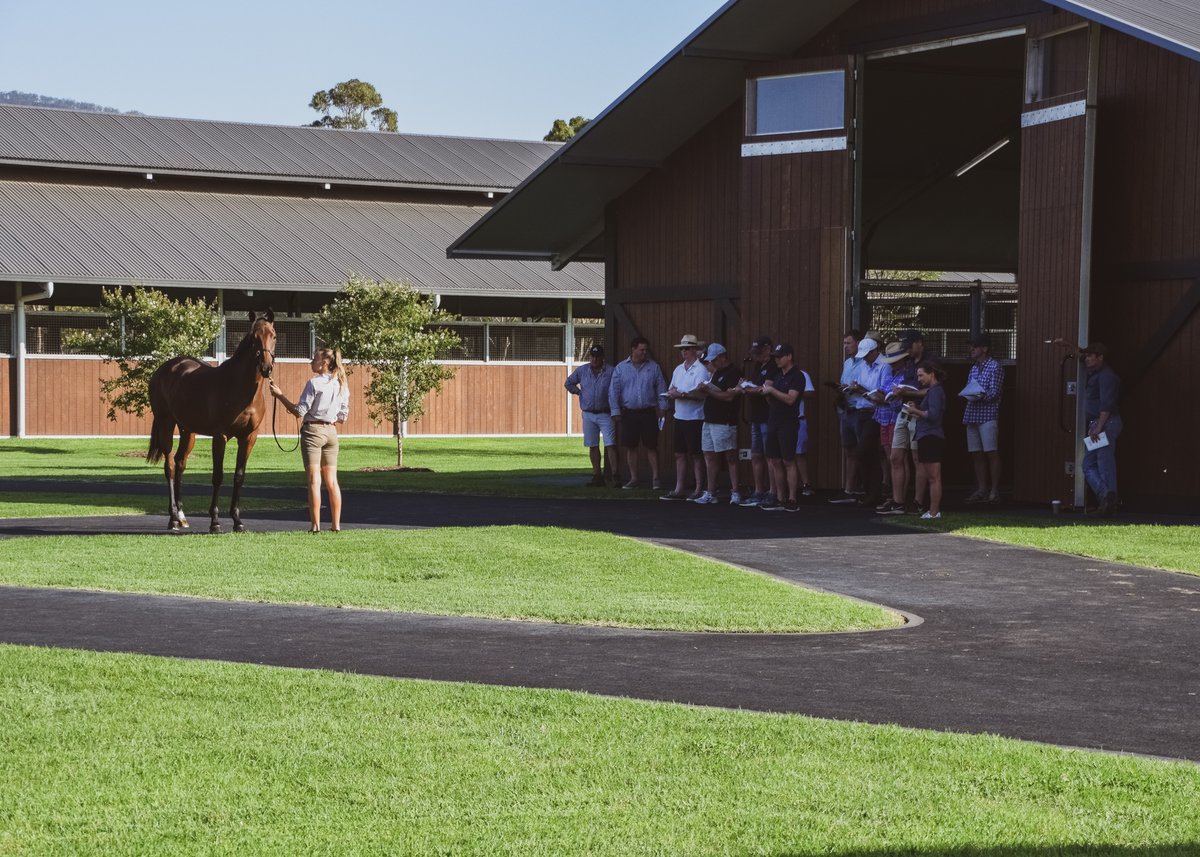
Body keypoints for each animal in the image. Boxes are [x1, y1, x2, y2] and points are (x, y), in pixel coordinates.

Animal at [147, 310, 277, 533]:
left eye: (274, 336)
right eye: (253, 338)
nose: (266, 367)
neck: (240, 387)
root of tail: (165, 368)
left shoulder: (249, 437)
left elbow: (239, 476)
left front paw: (237, 520)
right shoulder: (220, 436)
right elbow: (218, 476)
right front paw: (215, 521)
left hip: (187, 430)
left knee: (180, 463)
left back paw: (181, 516)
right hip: (165, 423)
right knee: (170, 466)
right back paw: (173, 519)